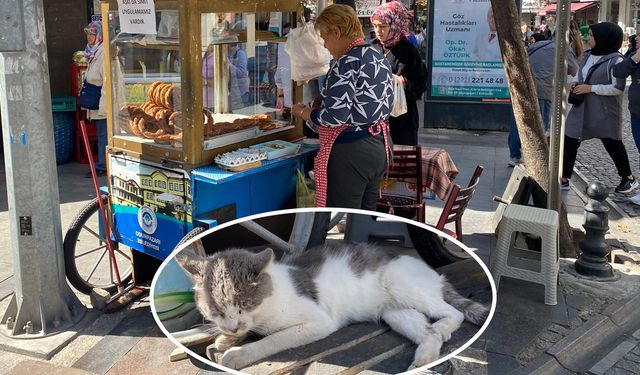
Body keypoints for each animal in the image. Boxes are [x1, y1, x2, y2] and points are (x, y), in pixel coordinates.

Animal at [175, 242, 490, 372]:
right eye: (215, 310)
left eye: (243, 303)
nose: (231, 325)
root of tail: (431, 270)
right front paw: (224, 340)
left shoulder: (318, 322)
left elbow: (272, 340)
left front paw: (237, 353)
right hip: (395, 312)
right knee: (428, 333)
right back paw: (424, 358)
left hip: (404, 286)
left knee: (453, 312)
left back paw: (444, 328)